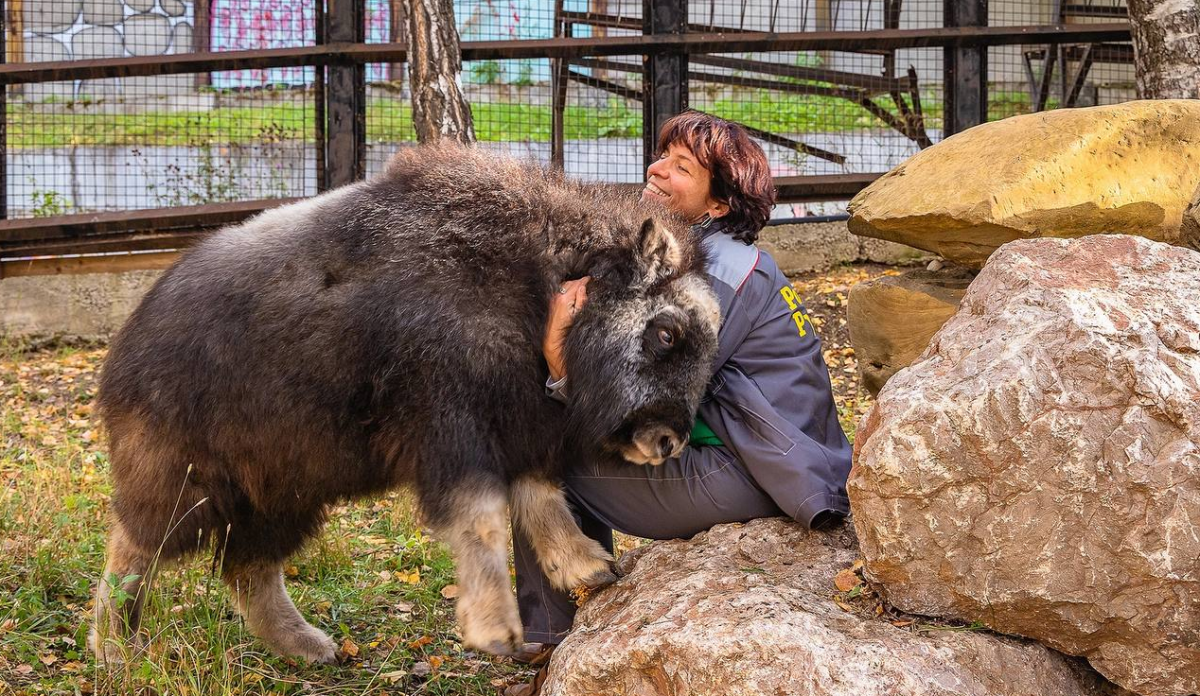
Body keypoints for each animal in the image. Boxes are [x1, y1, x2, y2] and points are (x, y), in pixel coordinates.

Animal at [91, 141, 720, 662]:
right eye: (667, 333)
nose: (668, 440)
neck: (534, 287)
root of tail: (127, 342)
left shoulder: (517, 425)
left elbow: (540, 499)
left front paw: (589, 567)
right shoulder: (450, 429)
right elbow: (483, 517)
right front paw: (496, 630)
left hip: (285, 491)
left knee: (248, 566)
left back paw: (310, 647)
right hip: (187, 480)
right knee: (135, 546)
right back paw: (116, 649)